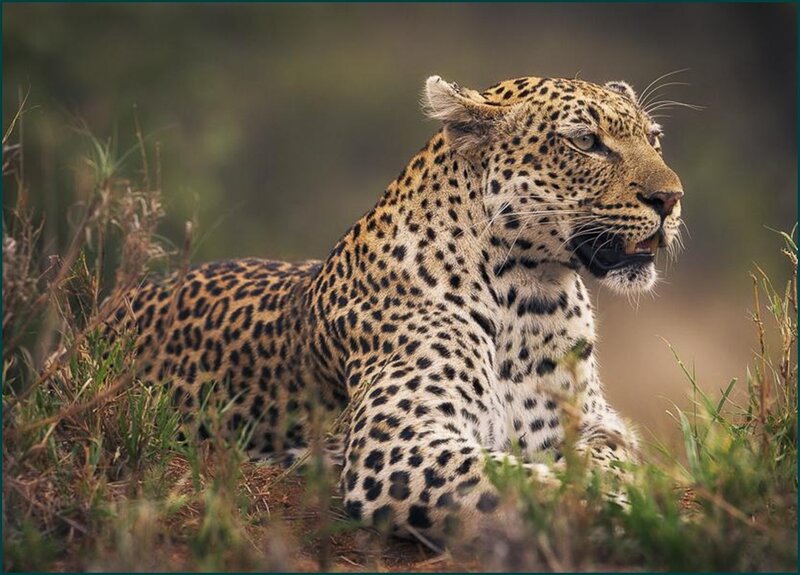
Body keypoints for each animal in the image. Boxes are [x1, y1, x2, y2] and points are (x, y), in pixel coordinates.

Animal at [108, 74, 684, 542]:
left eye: (654, 139)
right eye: (585, 142)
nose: (671, 198)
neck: (532, 296)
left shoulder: (591, 418)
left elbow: (610, 449)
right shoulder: (397, 446)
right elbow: (521, 480)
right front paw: (617, 507)